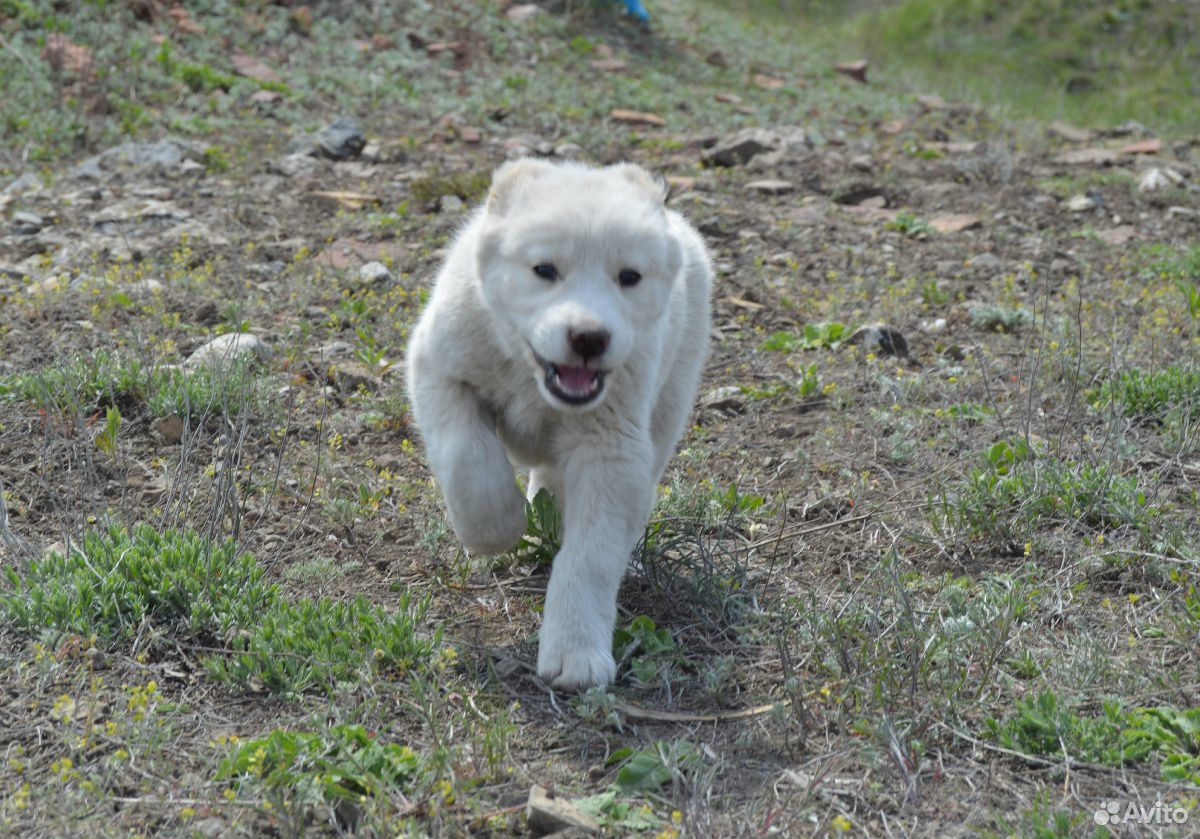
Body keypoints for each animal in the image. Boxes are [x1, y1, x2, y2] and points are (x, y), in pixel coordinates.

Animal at [410, 157, 710, 691]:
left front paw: (576, 654)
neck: (531, 375)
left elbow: (589, 555)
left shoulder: (610, 448)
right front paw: (494, 528)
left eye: (629, 276)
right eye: (544, 270)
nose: (589, 337)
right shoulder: (437, 368)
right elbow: (467, 458)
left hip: (669, 403)